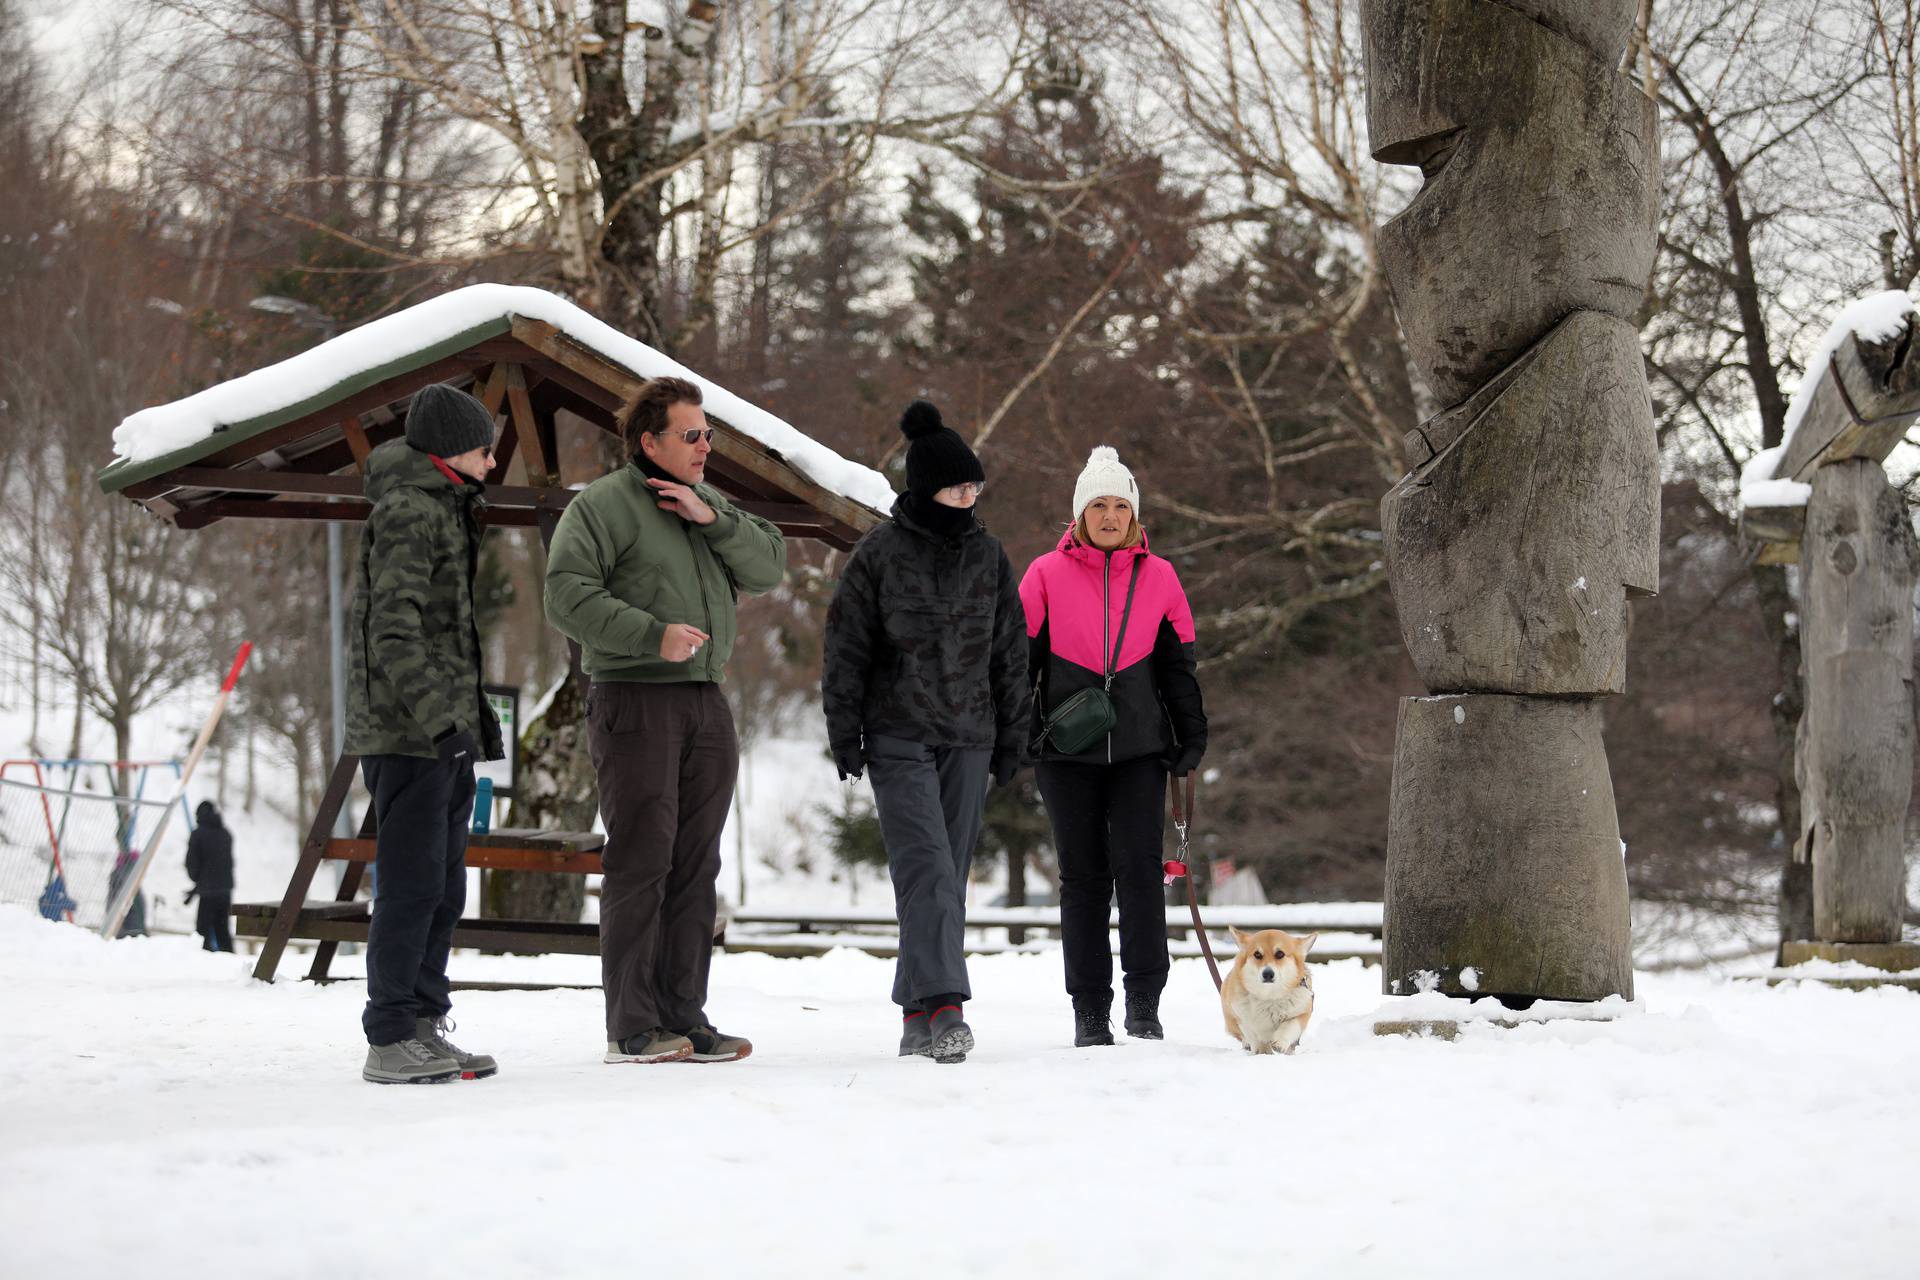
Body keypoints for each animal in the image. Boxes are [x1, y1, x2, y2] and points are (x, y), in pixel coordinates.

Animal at [1221, 924, 1313, 1059]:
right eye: (1257, 954)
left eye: (1280, 954)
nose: (1268, 974)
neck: (1269, 996)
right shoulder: (1242, 1018)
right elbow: (1253, 1034)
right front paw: (1262, 1051)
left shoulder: (1301, 1013)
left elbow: (1289, 1026)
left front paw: (1280, 1043)